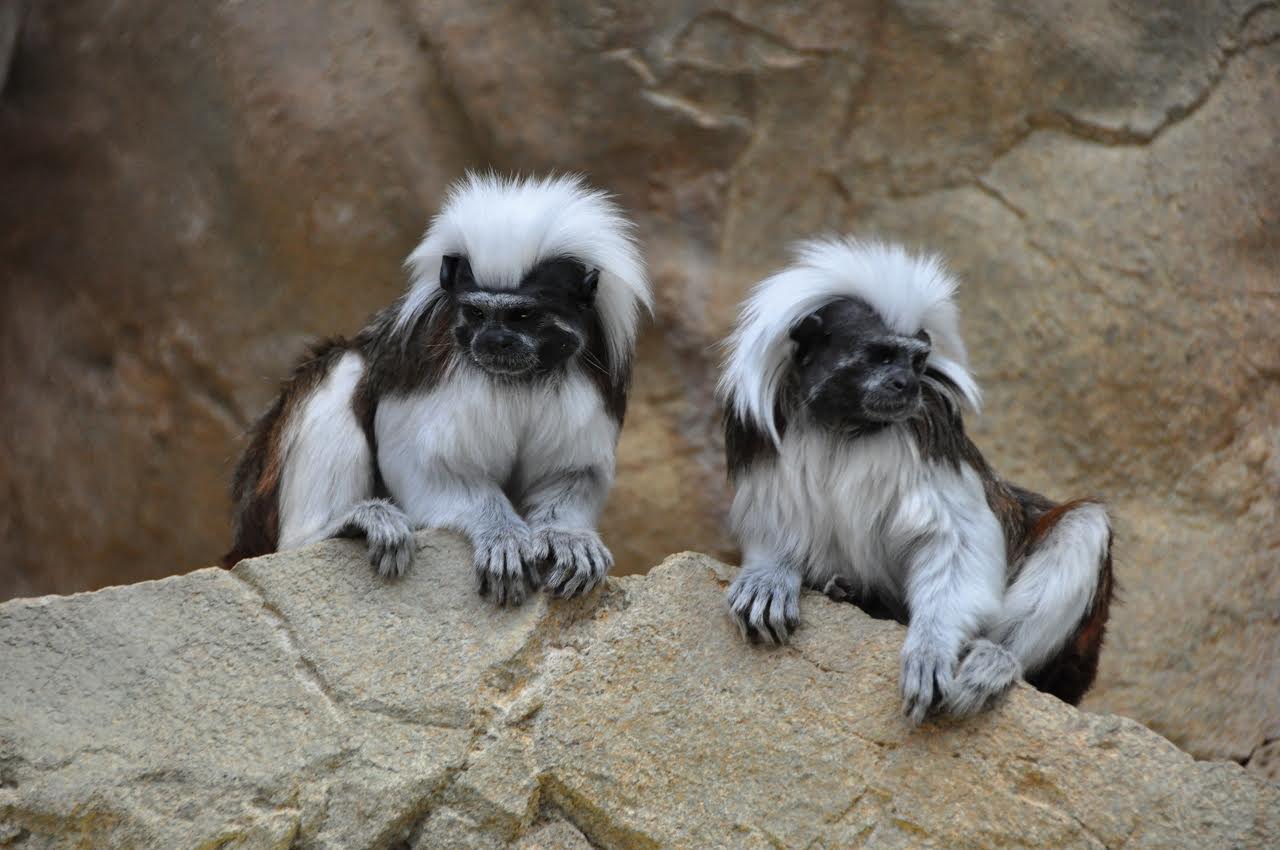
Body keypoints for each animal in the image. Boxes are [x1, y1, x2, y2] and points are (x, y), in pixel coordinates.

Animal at [222, 172, 650, 604]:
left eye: (523, 316)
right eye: (476, 313)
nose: (493, 342)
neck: (519, 377)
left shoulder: (591, 376)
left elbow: (571, 472)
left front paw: (566, 537)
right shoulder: (430, 360)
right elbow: (429, 466)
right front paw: (501, 533)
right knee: (343, 365)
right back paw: (337, 527)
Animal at [716, 239, 1116, 721]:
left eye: (917, 360)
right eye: (881, 355)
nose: (905, 383)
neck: (846, 427)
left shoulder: (932, 436)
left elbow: (957, 543)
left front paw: (931, 649)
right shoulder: (767, 436)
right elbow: (775, 522)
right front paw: (770, 577)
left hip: (1074, 657)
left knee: (1083, 525)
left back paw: (996, 658)